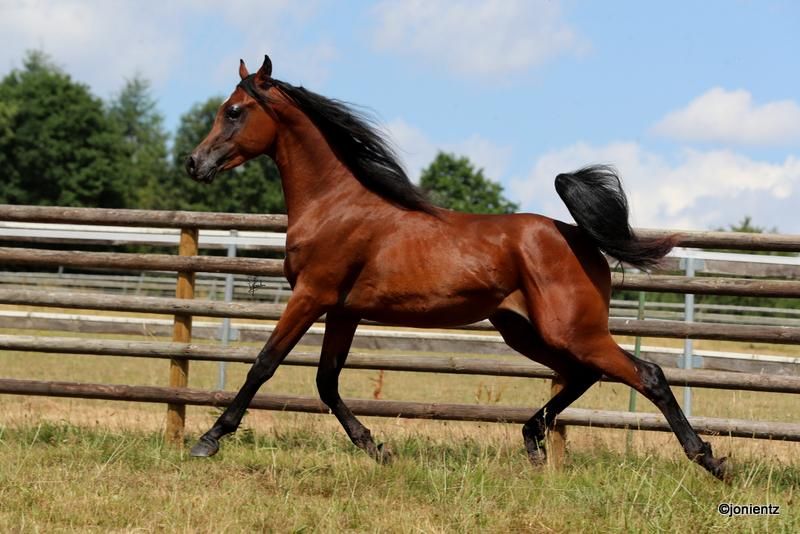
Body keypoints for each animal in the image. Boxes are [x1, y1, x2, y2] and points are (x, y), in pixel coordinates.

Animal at [184, 55, 729, 481]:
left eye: (234, 111)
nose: (194, 163)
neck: (334, 204)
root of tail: (579, 237)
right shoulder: (344, 310)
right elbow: (327, 381)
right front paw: (378, 449)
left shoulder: (311, 295)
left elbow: (264, 364)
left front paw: (208, 440)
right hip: (525, 329)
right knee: (582, 375)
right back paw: (532, 440)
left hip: (571, 329)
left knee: (646, 373)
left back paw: (710, 460)